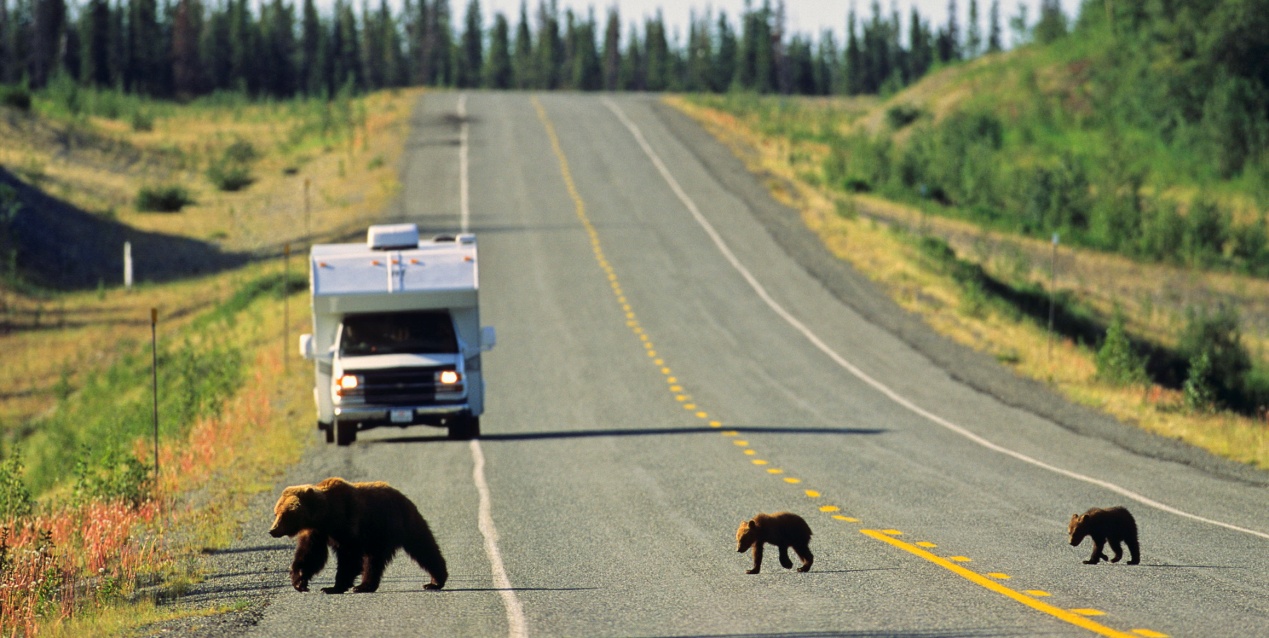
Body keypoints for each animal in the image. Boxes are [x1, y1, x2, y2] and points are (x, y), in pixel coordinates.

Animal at [266, 474, 446, 593]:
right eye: (276, 513)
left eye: (284, 515)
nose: (272, 530)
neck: (325, 515)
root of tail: (404, 497)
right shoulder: (316, 532)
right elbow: (310, 555)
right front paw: (300, 582)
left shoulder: (347, 523)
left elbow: (349, 556)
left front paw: (333, 587)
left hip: (389, 525)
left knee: (420, 548)